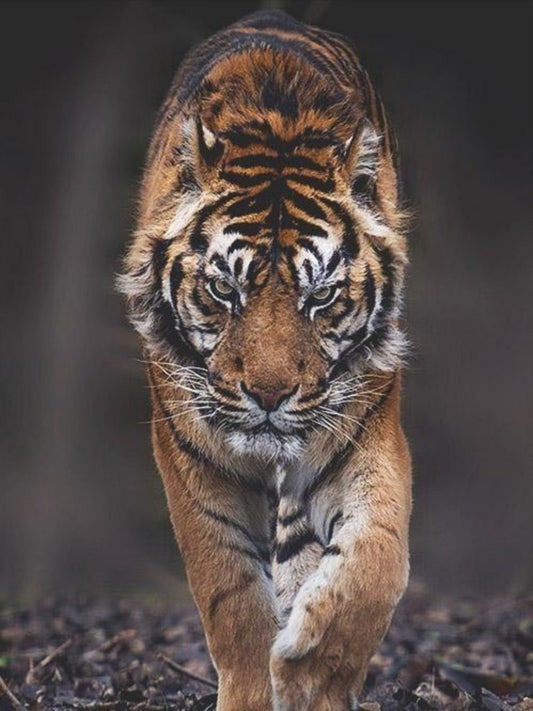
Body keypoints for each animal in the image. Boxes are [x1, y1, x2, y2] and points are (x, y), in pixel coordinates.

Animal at [120, 9, 412, 711]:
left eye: (322, 296)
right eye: (226, 289)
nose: (271, 395)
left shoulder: (362, 430)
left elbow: (376, 561)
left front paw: (312, 674)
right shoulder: (194, 456)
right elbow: (231, 595)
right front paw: (260, 688)